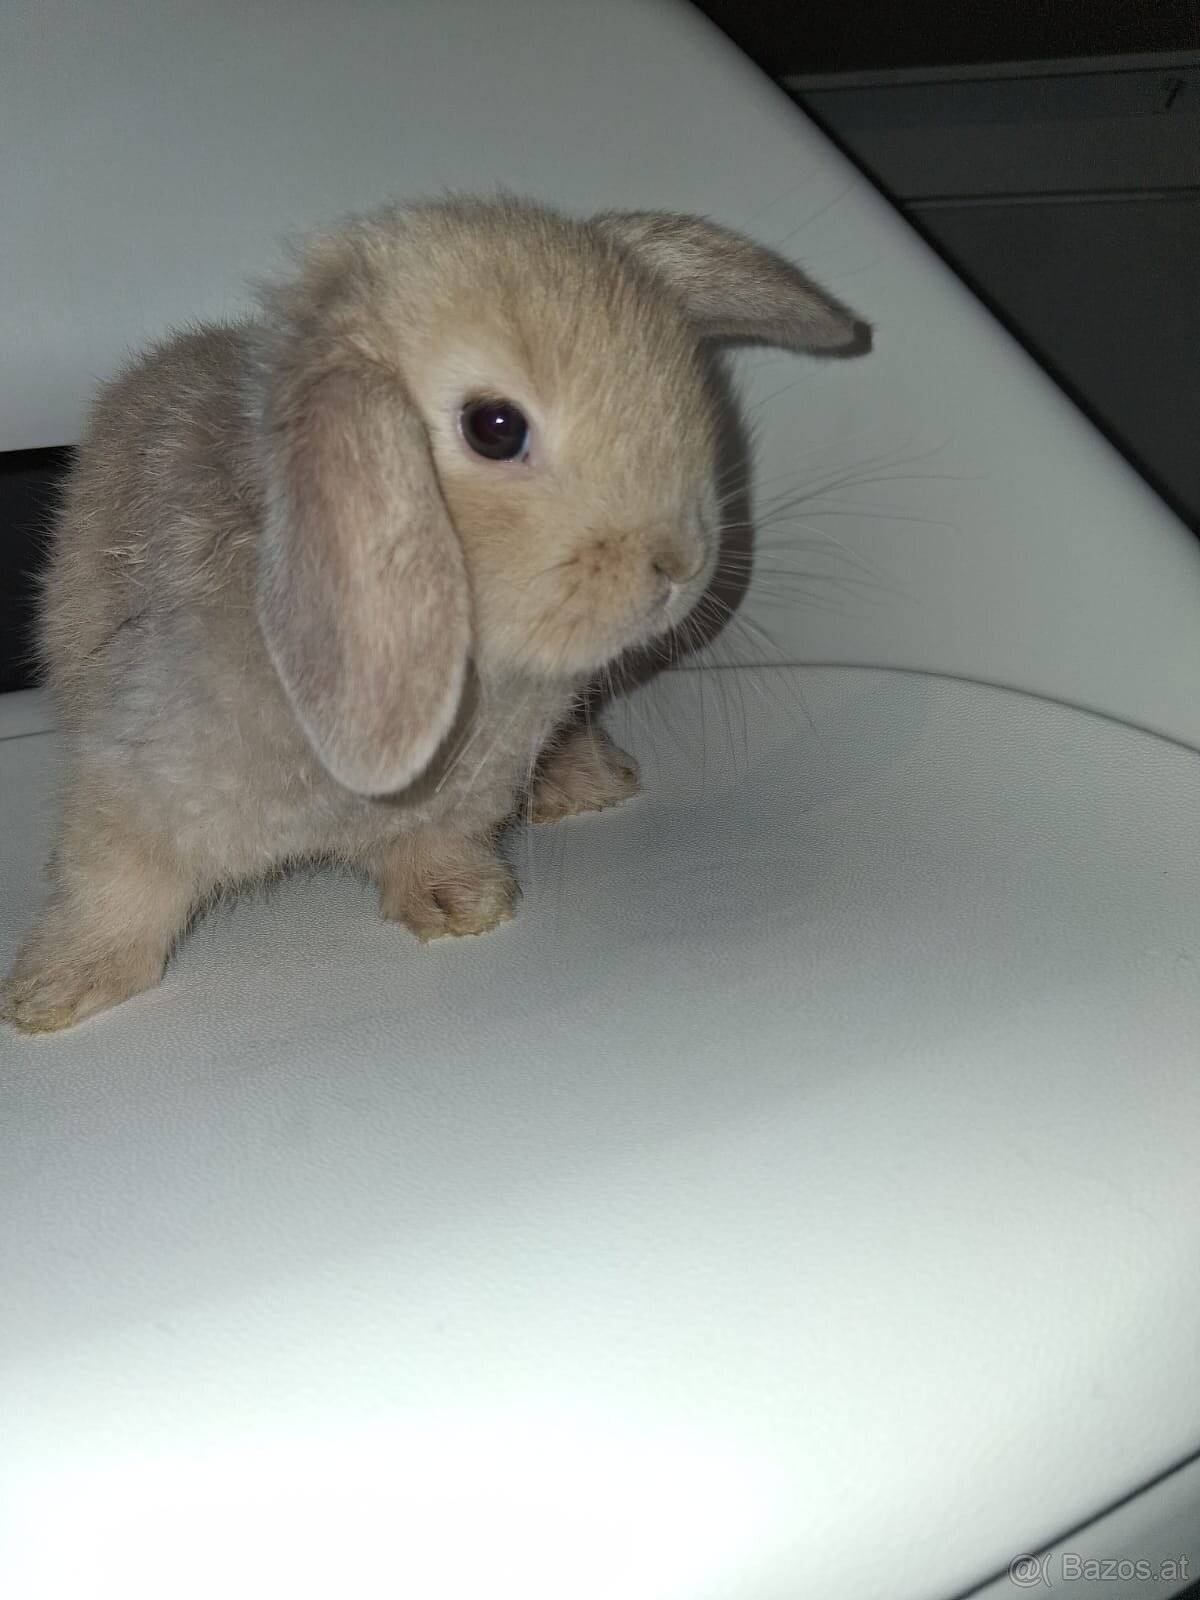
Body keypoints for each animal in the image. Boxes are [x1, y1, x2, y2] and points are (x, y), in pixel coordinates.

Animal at [3, 196, 871, 1034]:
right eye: (496, 427)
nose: (680, 566)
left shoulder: (466, 799)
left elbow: (434, 845)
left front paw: (465, 907)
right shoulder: (133, 776)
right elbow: (114, 888)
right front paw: (50, 996)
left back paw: (592, 782)